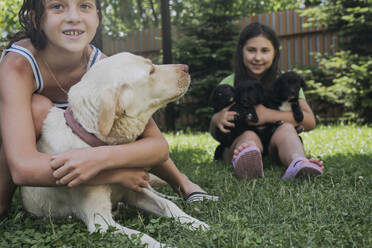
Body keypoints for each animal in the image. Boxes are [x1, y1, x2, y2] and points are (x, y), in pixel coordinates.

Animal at [21, 51, 209, 246]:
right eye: (150, 70)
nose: (187, 67)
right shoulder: (101, 222)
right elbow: (142, 236)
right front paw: (163, 245)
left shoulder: (135, 192)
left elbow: (168, 205)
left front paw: (196, 224)